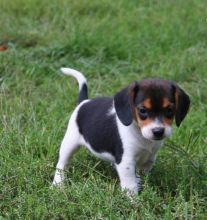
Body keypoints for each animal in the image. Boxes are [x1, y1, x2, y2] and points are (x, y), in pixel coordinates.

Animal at [52, 67, 191, 194]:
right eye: (142, 110)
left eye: (169, 110)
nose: (158, 131)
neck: (140, 135)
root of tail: (83, 102)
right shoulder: (126, 161)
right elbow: (130, 185)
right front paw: (134, 201)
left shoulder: (149, 160)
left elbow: (141, 176)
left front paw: (142, 186)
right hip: (69, 143)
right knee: (61, 165)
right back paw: (58, 184)